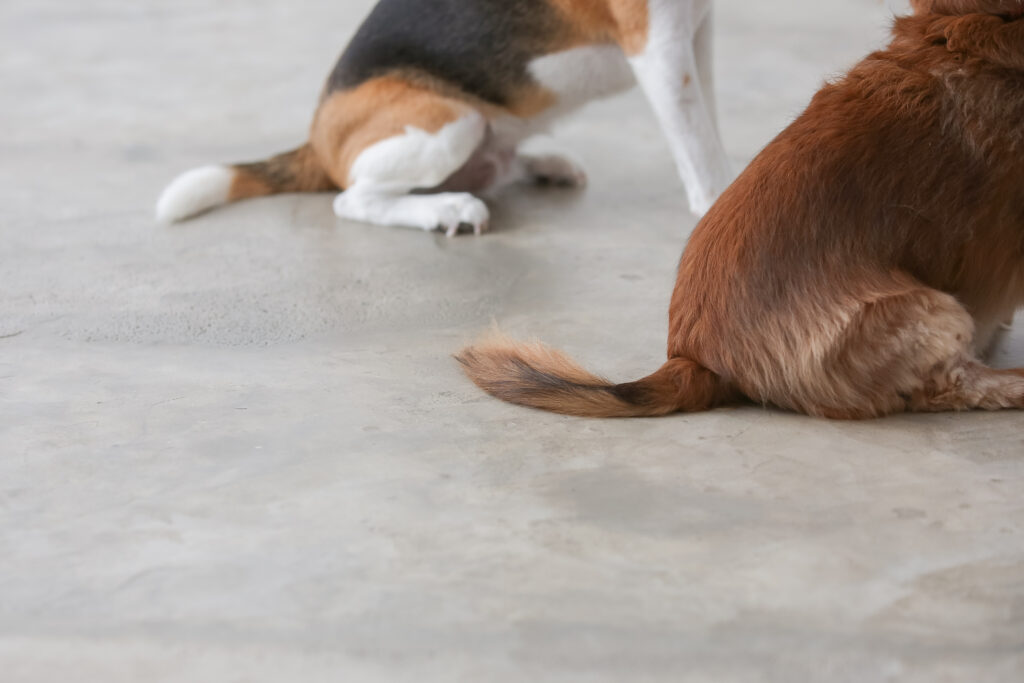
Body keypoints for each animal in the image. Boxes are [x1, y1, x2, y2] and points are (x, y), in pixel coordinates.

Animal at [153, 0, 729, 236]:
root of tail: (316, 139)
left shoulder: (696, 34)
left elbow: (709, 132)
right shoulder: (659, 45)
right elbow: (701, 151)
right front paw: (718, 211)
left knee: (499, 164)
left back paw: (546, 163)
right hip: (453, 125)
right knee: (351, 198)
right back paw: (446, 209)